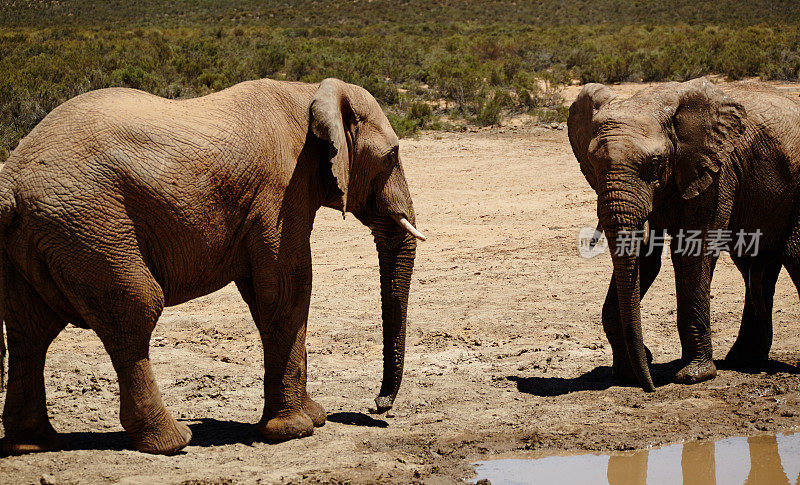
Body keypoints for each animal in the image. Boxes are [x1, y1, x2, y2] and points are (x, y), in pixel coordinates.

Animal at [0, 76, 424, 454]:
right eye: (391, 156)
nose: (377, 406)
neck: (309, 92)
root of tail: (11, 182)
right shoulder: (280, 194)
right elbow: (288, 291)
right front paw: (295, 431)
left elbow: (267, 297)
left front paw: (313, 418)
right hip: (91, 228)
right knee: (134, 313)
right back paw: (172, 442)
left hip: (39, 240)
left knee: (29, 332)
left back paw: (33, 444)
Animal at [568, 77, 800, 392]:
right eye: (592, 164)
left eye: (654, 163)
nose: (650, 386)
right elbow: (645, 260)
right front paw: (628, 373)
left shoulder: (715, 172)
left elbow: (692, 255)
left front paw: (694, 376)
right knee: (753, 267)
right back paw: (744, 361)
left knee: (794, 257)